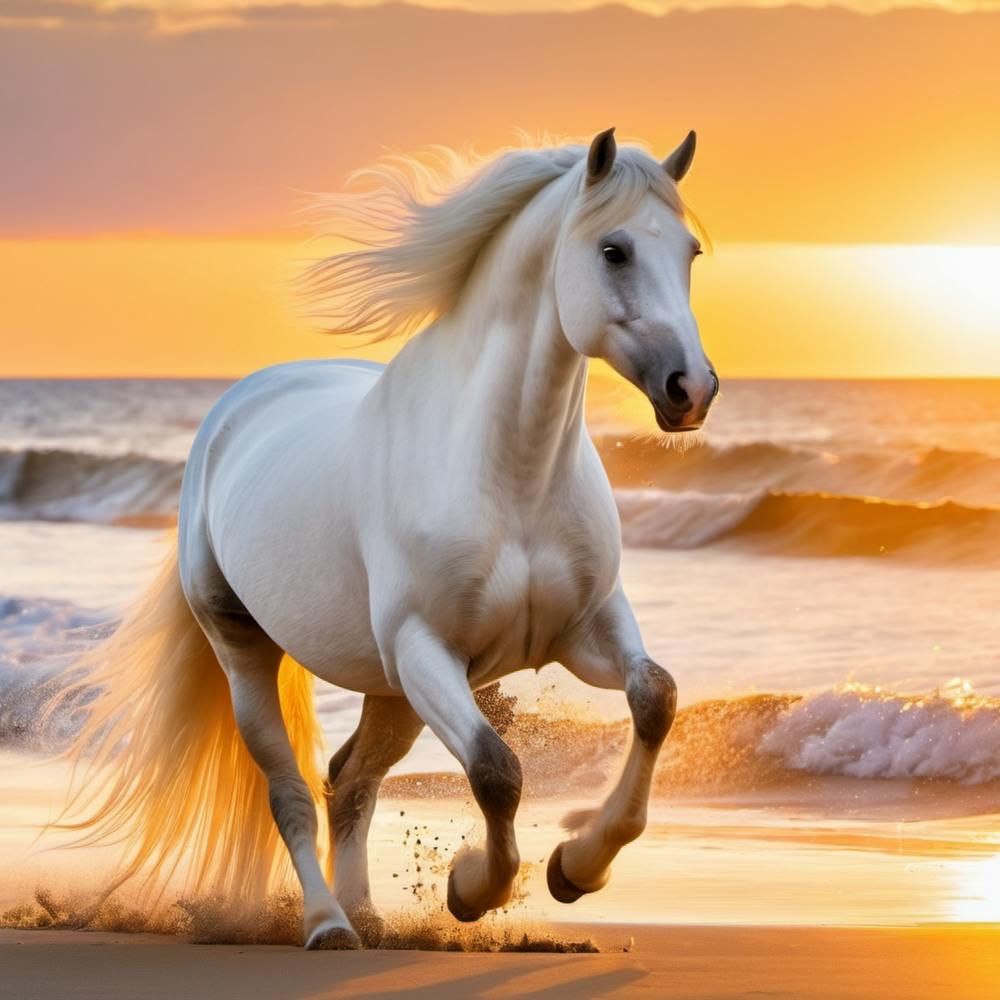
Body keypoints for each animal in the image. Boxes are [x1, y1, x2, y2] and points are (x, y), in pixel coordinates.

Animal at [58, 127, 717, 949]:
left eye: (691, 251)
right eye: (614, 250)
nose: (692, 390)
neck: (512, 479)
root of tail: (236, 408)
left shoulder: (583, 628)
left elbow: (655, 697)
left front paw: (576, 867)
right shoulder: (425, 649)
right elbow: (497, 771)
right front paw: (471, 887)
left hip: (390, 691)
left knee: (350, 780)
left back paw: (368, 915)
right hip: (252, 651)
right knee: (290, 790)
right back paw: (328, 924)